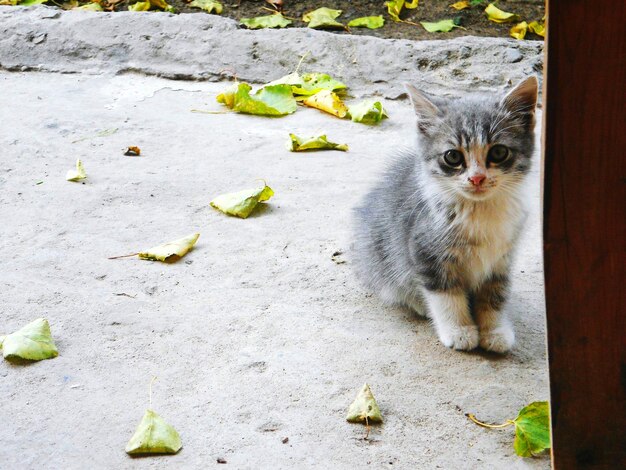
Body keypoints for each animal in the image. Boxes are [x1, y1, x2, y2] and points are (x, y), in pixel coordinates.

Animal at [352, 77, 536, 352]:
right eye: (453, 156)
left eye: (498, 152)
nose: (477, 178)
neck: (479, 210)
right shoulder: (425, 249)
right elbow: (446, 294)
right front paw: (459, 330)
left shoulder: (503, 257)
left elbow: (495, 293)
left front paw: (495, 330)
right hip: (378, 255)